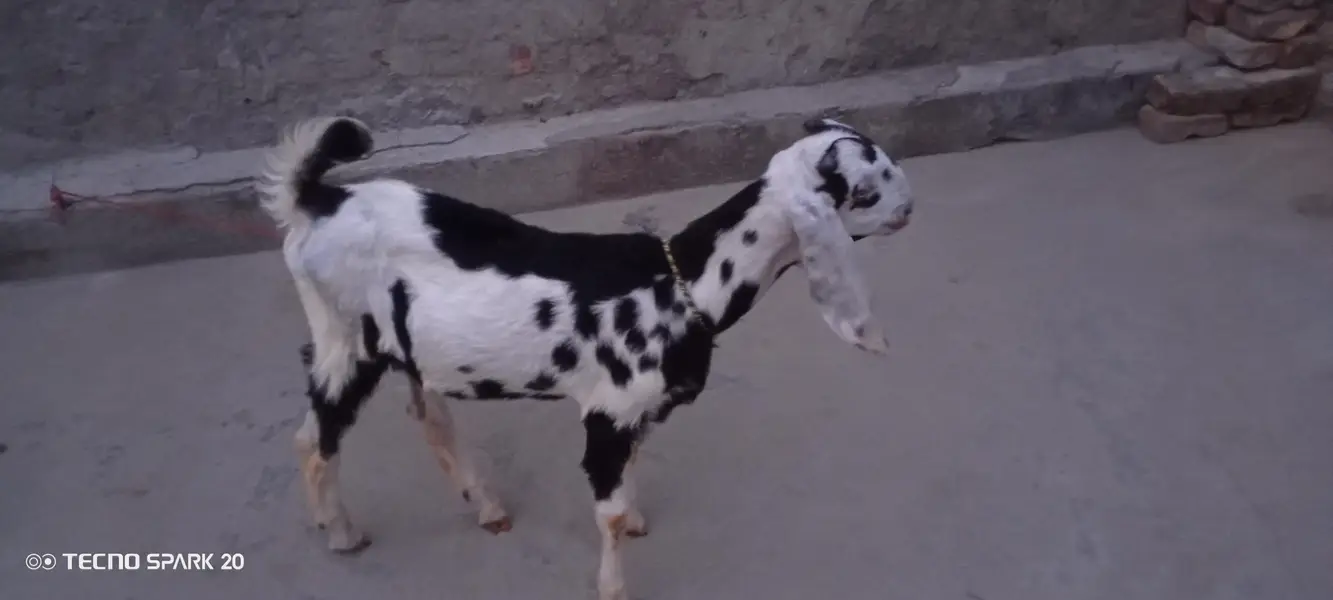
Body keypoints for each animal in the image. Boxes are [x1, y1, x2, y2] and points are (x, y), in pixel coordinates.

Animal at [256, 115, 914, 600]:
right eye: (865, 192)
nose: (910, 209)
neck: (683, 284)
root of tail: (312, 197)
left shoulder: (637, 413)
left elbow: (629, 482)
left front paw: (637, 520)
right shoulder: (609, 413)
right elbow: (609, 513)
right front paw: (613, 588)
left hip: (408, 347)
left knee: (430, 418)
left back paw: (487, 507)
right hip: (345, 338)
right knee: (315, 439)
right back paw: (342, 533)